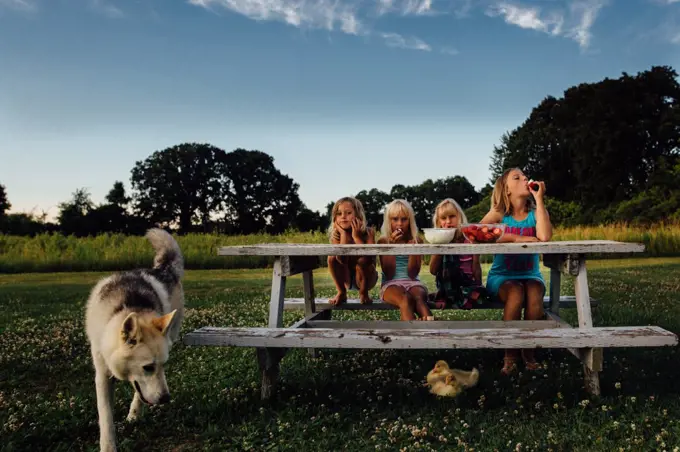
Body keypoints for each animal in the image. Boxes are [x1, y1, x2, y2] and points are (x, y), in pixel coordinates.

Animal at [86, 230, 185, 452]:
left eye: (165, 364)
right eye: (148, 367)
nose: (166, 399)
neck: (129, 306)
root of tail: (163, 268)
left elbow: (139, 394)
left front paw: (135, 412)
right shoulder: (102, 375)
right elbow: (106, 417)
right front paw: (108, 446)